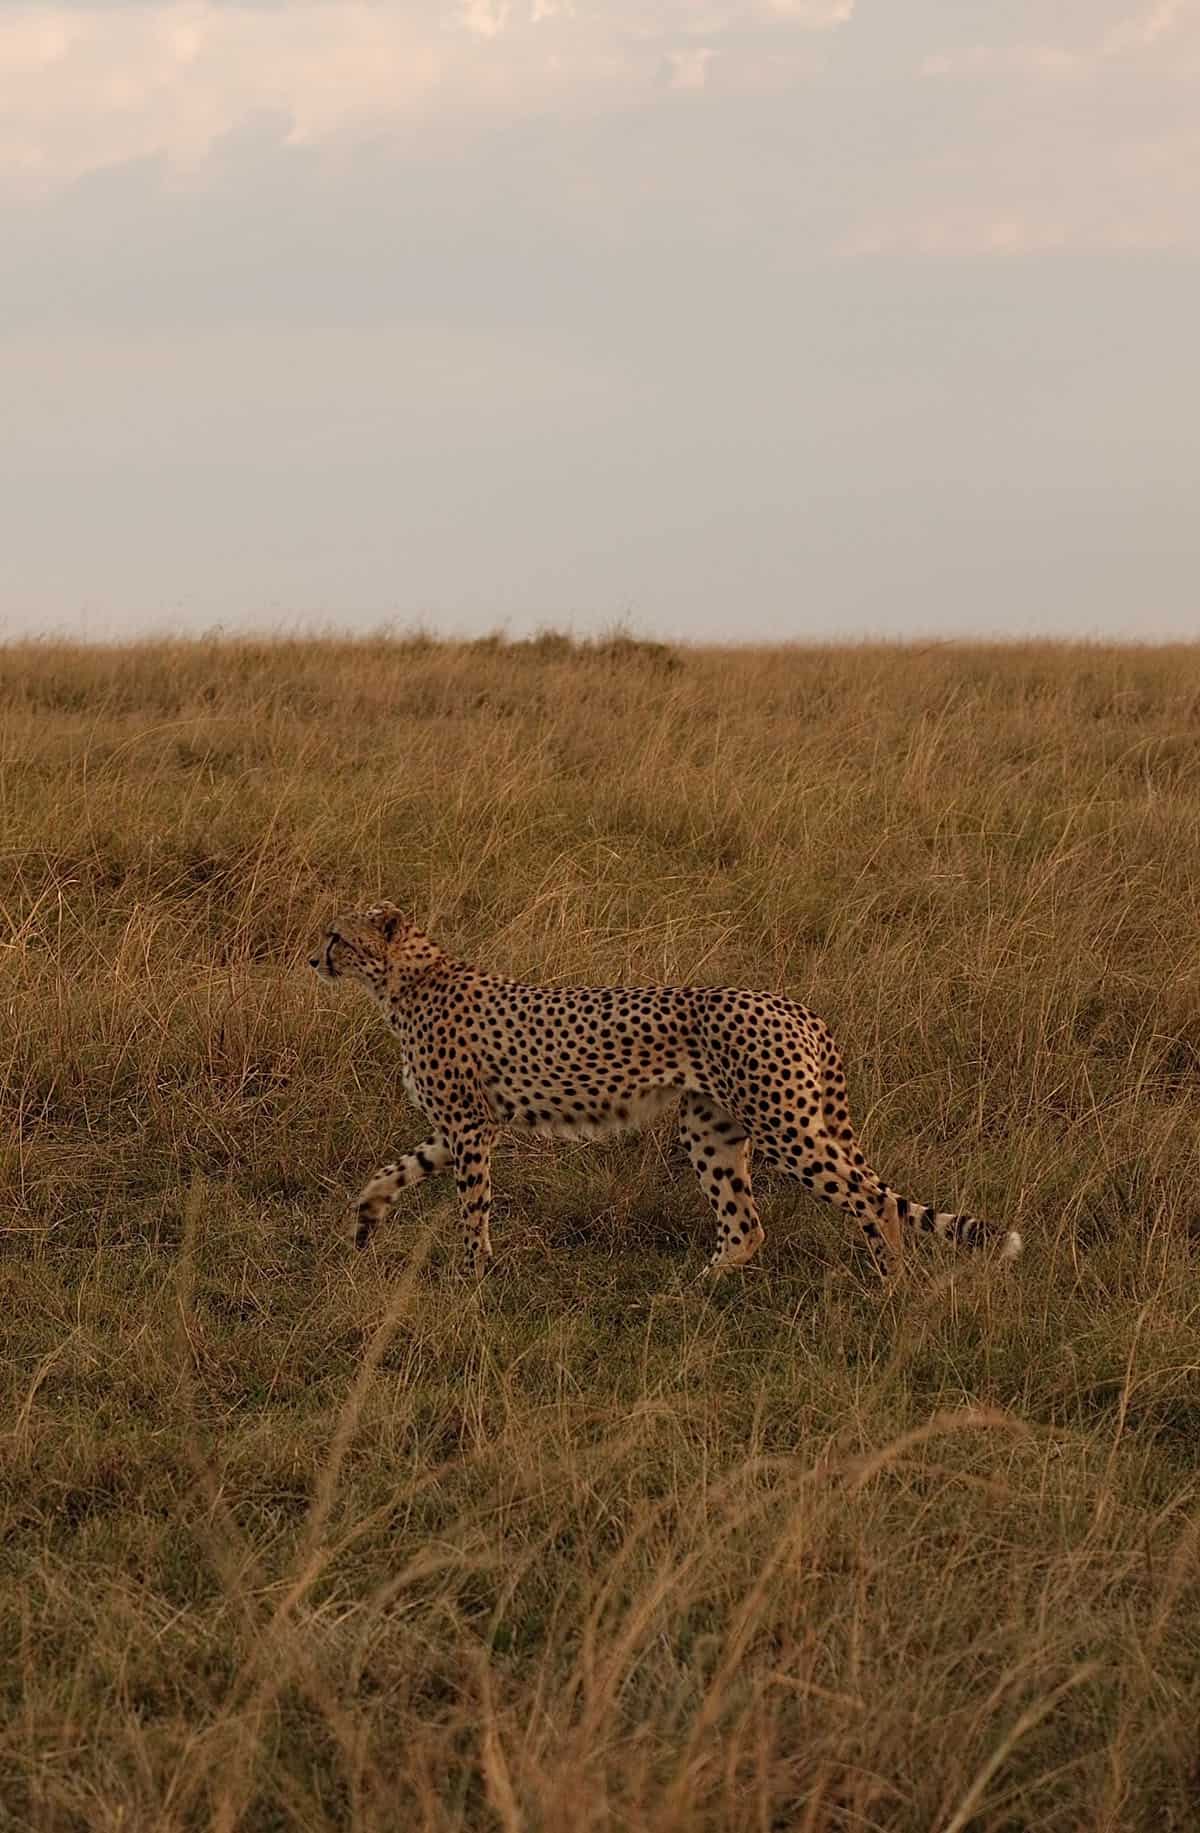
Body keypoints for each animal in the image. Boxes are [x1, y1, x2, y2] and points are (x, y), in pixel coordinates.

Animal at [309, 902, 1022, 1279]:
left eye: (336, 937)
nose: (314, 961)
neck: (405, 981)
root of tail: (794, 1005)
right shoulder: (462, 1125)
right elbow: (395, 1170)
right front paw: (367, 1220)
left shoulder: (468, 1125)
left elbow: (472, 1204)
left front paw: (474, 1273)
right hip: (712, 1128)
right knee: (747, 1224)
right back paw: (694, 1292)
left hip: (784, 1126)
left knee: (870, 1200)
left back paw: (891, 1284)